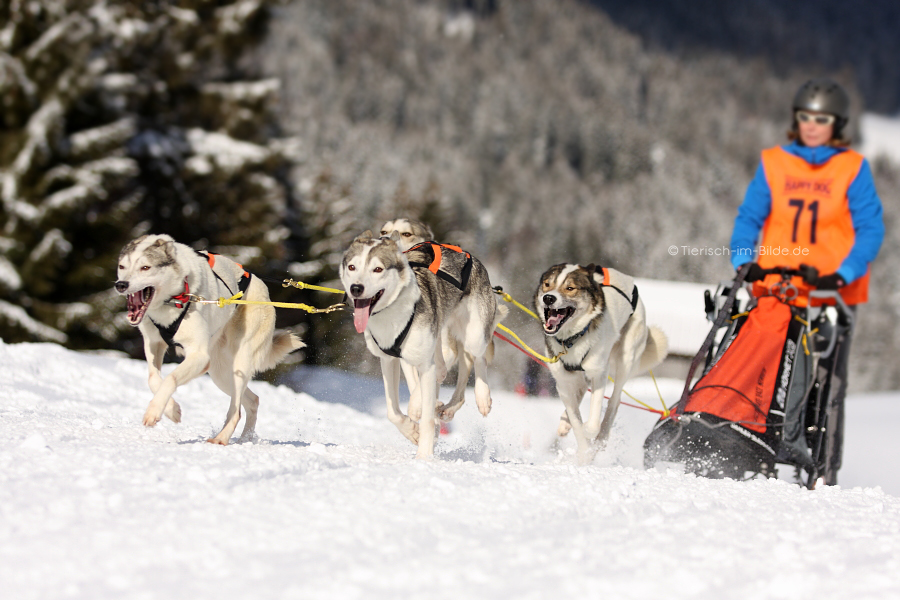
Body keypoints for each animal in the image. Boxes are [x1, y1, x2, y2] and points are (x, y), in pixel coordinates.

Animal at [116, 234, 302, 446]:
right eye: (122, 266)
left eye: (145, 267)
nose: (120, 285)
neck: (178, 295)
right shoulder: (153, 345)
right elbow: (153, 379)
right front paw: (171, 410)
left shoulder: (199, 356)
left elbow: (171, 378)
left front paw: (154, 411)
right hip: (220, 374)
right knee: (252, 401)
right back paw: (244, 439)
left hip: (239, 364)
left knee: (236, 410)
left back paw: (221, 439)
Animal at [342, 231, 506, 460]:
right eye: (352, 267)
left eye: (378, 269)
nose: (356, 288)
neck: (393, 312)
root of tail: (469, 256)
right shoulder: (389, 360)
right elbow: (392, 412)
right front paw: (412, 431)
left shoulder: (424, 364)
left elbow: (426, 416)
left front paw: (424, 456)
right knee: (453, 366)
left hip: (474, 334)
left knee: (477, 358)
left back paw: (482, 397)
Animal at [536, 262, 668, 464]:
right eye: (547, 284)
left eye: (570, 288)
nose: (548, 298)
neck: (573, 339)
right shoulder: (563, 382)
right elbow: (575, 419)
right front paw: (583, 452)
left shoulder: (599, 374)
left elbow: (592, 423)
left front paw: (590, 440)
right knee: (581, 390)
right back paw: (565, 424)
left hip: (626, 359)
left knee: (614, 401)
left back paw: (602, 437)